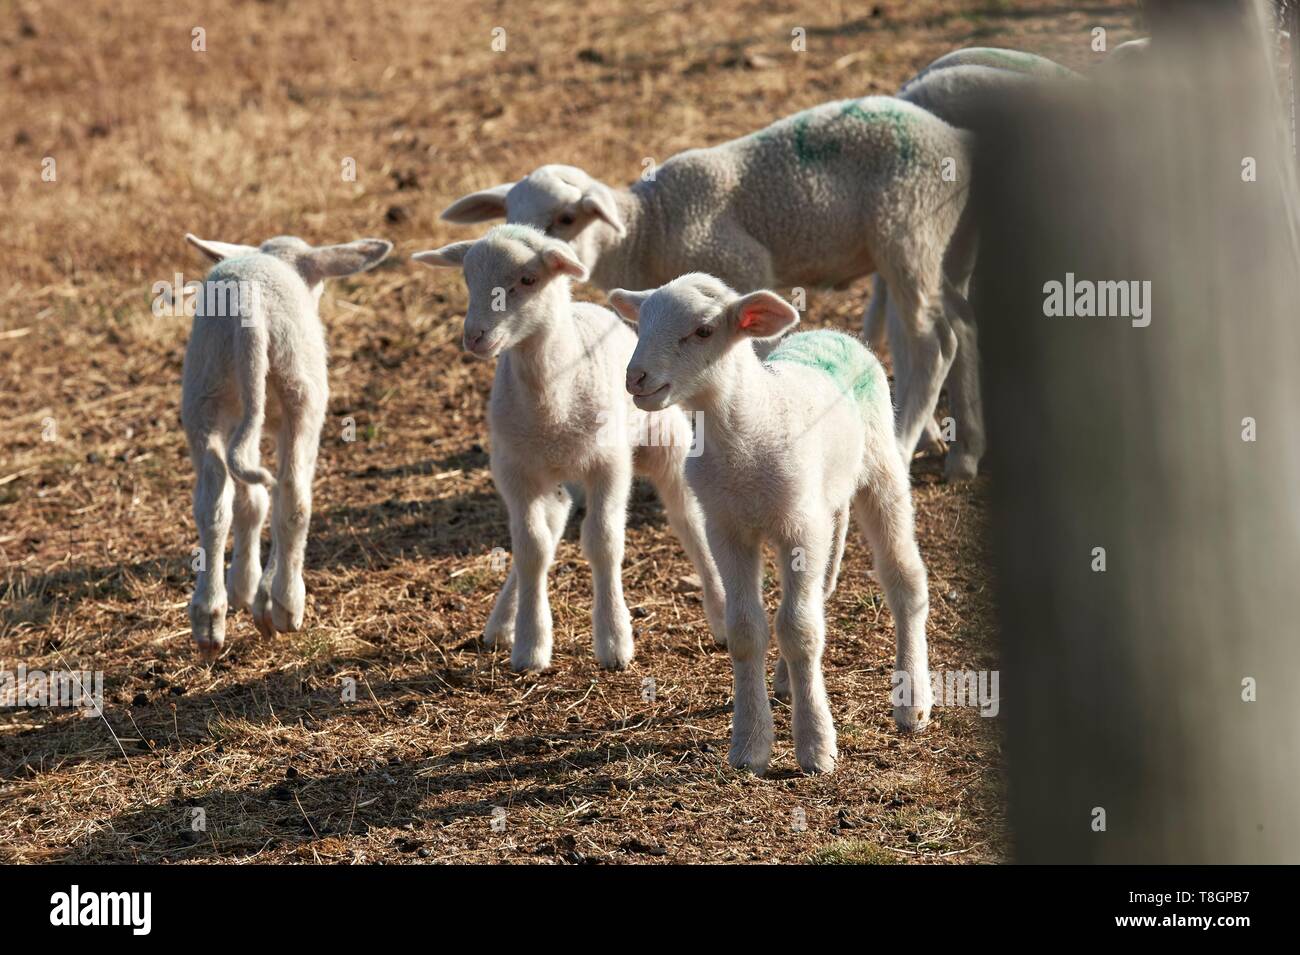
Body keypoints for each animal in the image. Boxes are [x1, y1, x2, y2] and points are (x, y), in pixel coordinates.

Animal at [180, 235, 390, 660]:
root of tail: (250, 313)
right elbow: (275, 500)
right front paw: (262, 599)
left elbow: (250, 503)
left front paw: (244, 587)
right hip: (301, 392)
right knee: (293, 497)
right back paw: (286, 604)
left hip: (204, 391)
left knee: (213, 501)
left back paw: (209, 618)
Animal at [410, 223, 728, 670]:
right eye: (467, 278)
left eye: (528, 279)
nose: (475, 336)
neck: (551, 397)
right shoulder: (514, 471)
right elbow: (531, 548)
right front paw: (530, 643)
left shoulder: (608, 465)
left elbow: (603, 543)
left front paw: (614, 641)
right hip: (554, 474)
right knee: (552, 523)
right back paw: (502, 622)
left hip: (667, 444)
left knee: (689, 521)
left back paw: (721, 617)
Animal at [441, 97, 972, 478]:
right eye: (508, 213)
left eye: (568, 218)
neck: (648, 229)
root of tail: (954, 137)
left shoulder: (743, 267)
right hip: (938, 242)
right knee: (959, 328)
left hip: (908, 232)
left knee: (932, 343)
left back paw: (905, 443)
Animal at [611, 270, 935, 779]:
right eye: (640, 325)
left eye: (703, 330)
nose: (635, 378)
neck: (747, 427)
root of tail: (834, 333)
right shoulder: (726, 529)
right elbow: (748, 630)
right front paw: (749, 745)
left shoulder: (798, 528)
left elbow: (799, 630)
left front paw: (816, 747)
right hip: (825, 503)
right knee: (820, 591)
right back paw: (787, 681)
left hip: (880, 470)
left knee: (903, 580)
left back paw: (912, 701)